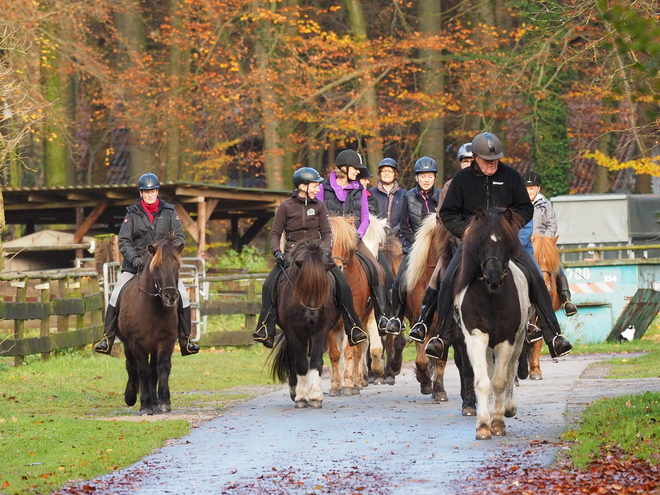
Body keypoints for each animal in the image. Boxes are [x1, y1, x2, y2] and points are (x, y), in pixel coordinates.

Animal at [115, 234, 183, 416]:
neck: (152, 308)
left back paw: (154, 401)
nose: (170, 296)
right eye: (157, 267)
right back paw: (131, 396)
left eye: (177, 266)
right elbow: (143, 370)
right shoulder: (135, 343)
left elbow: (162, 368)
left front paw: (163, 402)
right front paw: (145, 405)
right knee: (131, 367)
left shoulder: (167, 340)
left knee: (153, 370)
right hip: (128, 345)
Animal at [268, 238, 340, 408]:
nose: (312, 318)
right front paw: (301, 397)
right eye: (302, 288)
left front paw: (315, 396)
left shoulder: (321, 330)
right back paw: (295, 391)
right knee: (293, 358)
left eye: (323, 288)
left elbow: (315, 360)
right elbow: (300, 362)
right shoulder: (293, 331)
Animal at [454, 207, 536, 440]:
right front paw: (483, 425)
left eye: (505, 242)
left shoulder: (506, 339)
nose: (494, 278)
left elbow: (499, 381)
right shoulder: (475, 337)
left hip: (518, 341)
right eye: (480, 243)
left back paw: (508, 408)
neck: (490, 297)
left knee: (511, 369)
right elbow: (483, 382)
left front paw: (498, 423)